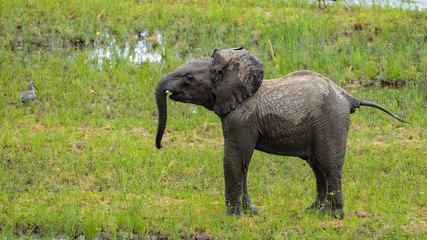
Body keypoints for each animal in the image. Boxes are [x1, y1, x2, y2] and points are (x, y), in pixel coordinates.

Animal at [155, 47, 408, 218]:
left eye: (189, 78)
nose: (161, 146)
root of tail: (348, 96)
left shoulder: (242, 118)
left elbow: (234, 159)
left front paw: (233, 217)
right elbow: (243, 163)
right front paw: (252, 212)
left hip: (331, 121)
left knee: (329, 165)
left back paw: (333, 216)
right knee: (318, 167)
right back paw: (313, 211)